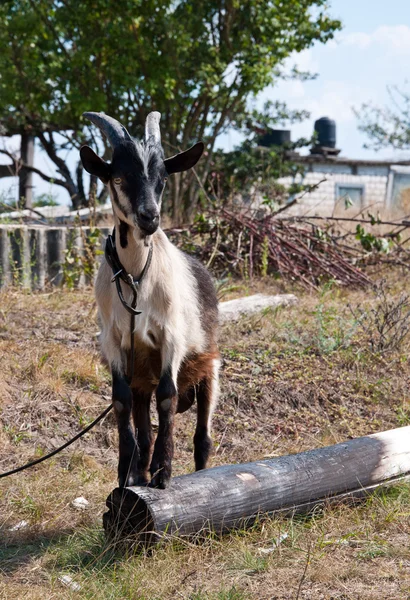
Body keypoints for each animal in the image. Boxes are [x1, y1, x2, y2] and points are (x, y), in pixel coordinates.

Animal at [81, 111, 221, 488]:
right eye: (118, 176)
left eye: (162, 178)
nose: (150, 217)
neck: (135, 278)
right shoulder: (114, 341)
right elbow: (120, 400)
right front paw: (127, 471)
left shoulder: (171, 337)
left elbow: (168, 397)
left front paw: (163, 470)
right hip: (142, 372)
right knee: (143, 420)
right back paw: (140, 466)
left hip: (209, 364)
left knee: (203, 436)